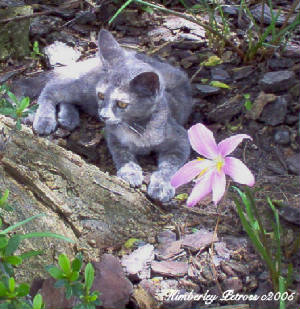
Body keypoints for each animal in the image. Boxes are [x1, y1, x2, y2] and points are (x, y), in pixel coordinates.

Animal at [32, 28, 193, 202]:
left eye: (122, 104)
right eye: (101, 95)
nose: (103, 115)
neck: (138, 127)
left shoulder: (181, 139)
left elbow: (170, 166)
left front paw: (161, 185)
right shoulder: (112, 134)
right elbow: (122, 153)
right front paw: (130, 172)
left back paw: (68, 117)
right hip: (83, 88)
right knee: (51, 89)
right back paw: (45, 119)